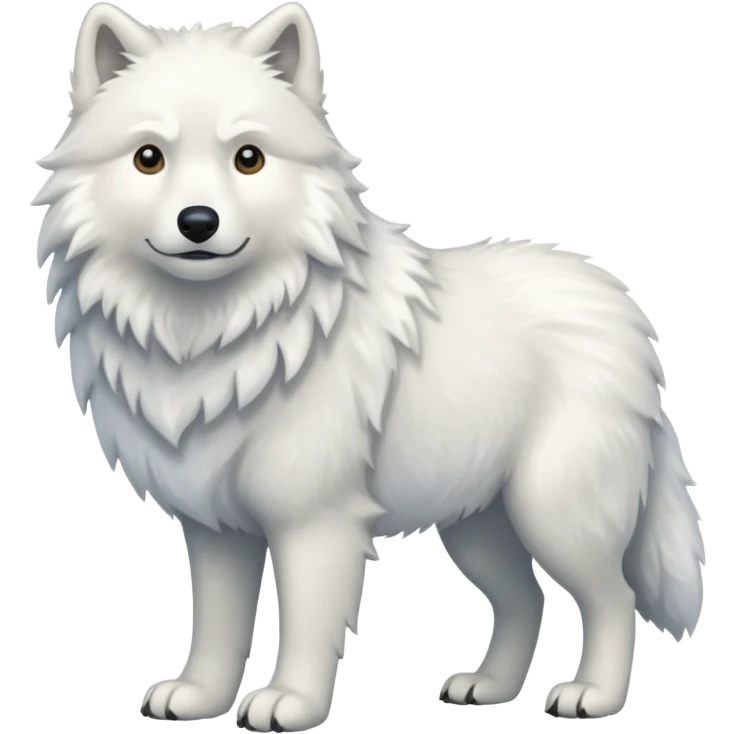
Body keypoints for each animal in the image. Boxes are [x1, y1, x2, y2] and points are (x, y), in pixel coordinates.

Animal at [32, 1, 704, 728]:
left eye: (249, 158)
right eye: (149, 158)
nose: (198, 221)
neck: (212, 333)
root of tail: (626, 310)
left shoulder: (314, 520)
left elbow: (304, 623)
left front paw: (290, 703)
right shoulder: (215, 527)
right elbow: (218, 625)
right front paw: (199, 696)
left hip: (553, 509)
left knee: (613, 598)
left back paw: (593, 696)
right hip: (477, 525)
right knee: (526, 599)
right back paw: (487, 688)